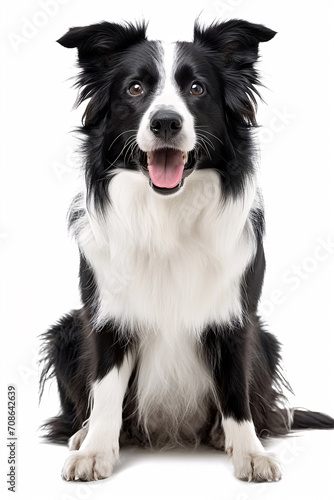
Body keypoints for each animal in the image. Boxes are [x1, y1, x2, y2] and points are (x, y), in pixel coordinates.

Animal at [39, 20, 334, 484]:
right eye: (135, 88)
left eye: (197, 88)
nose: (165, 122)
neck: (167, 214)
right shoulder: (107, 315)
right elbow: (106, 389)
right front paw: (96, 449)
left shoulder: (235, 317)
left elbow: (235, 391)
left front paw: (249, 452)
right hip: (66, 330)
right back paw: (82, 433)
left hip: (267, 340)